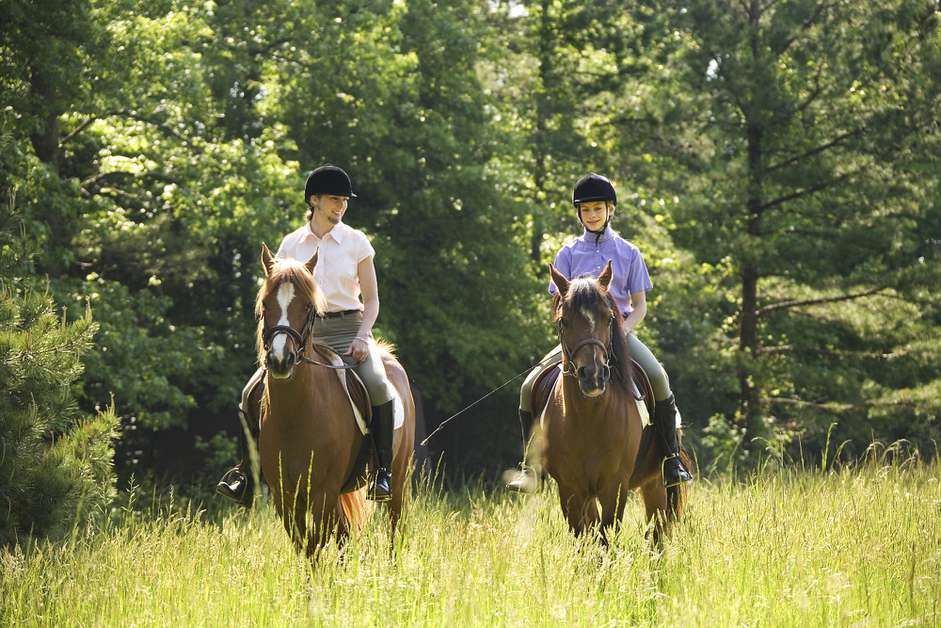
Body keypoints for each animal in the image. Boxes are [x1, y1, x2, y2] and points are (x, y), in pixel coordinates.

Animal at [255, 243, 414, 556]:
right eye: (266, 304)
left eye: (307, 307)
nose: (280, 360)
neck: (295, 415)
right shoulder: (285, 497)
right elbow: (306, 546)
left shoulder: (323, 492)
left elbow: (318, 543)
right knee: (343, 536)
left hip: (398, 481)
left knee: (394, 531)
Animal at [532, 260, 688, 544]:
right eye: (564, 321)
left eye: (609, 318)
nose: (593, 375)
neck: (588, 417)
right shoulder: (570, 489)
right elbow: (584, 539)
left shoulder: (615, 487)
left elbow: (606, 536)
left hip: (655, 483)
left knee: (657, 532)